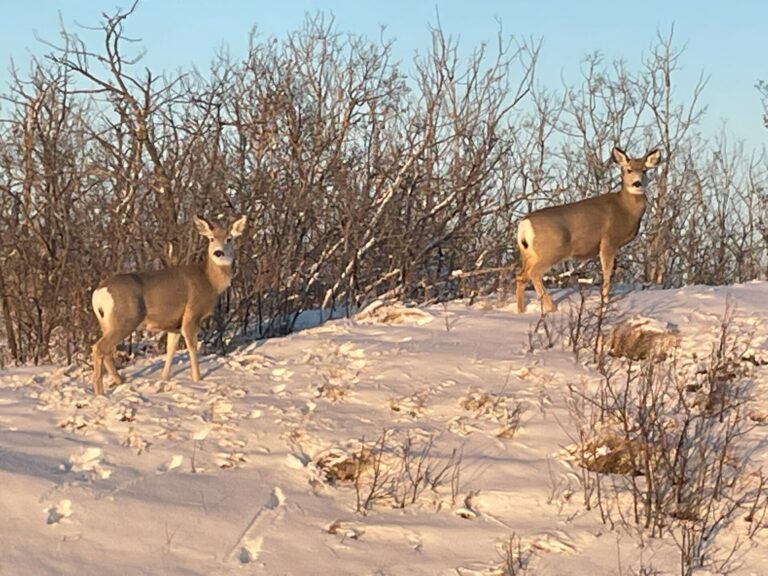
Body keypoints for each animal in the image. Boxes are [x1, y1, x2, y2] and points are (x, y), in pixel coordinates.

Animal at [90, 216, 248, 396]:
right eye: (211, 238)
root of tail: (99, 293)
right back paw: (100, 392)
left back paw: (119, 382)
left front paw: (164, 378)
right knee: (99, 348)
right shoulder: (191, 314)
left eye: (229, 238)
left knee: (106, 351)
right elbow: (192, 348)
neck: (210, 282)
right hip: (126, 319)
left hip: (106, 323)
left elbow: (170, 349)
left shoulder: (174, 325)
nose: (218, 252)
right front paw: (197, 380)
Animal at [516, 146, 660, 312]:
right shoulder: (608, 239)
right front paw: (604, 303)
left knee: (520, 276)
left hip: (528, 254)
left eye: (644, 170)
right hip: (551, 250)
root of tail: (524, 224)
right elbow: (607, 271)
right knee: (533, 273)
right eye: (628, 170)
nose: (637, 183)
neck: (625, 208)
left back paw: (520, 311)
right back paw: (551, 308)